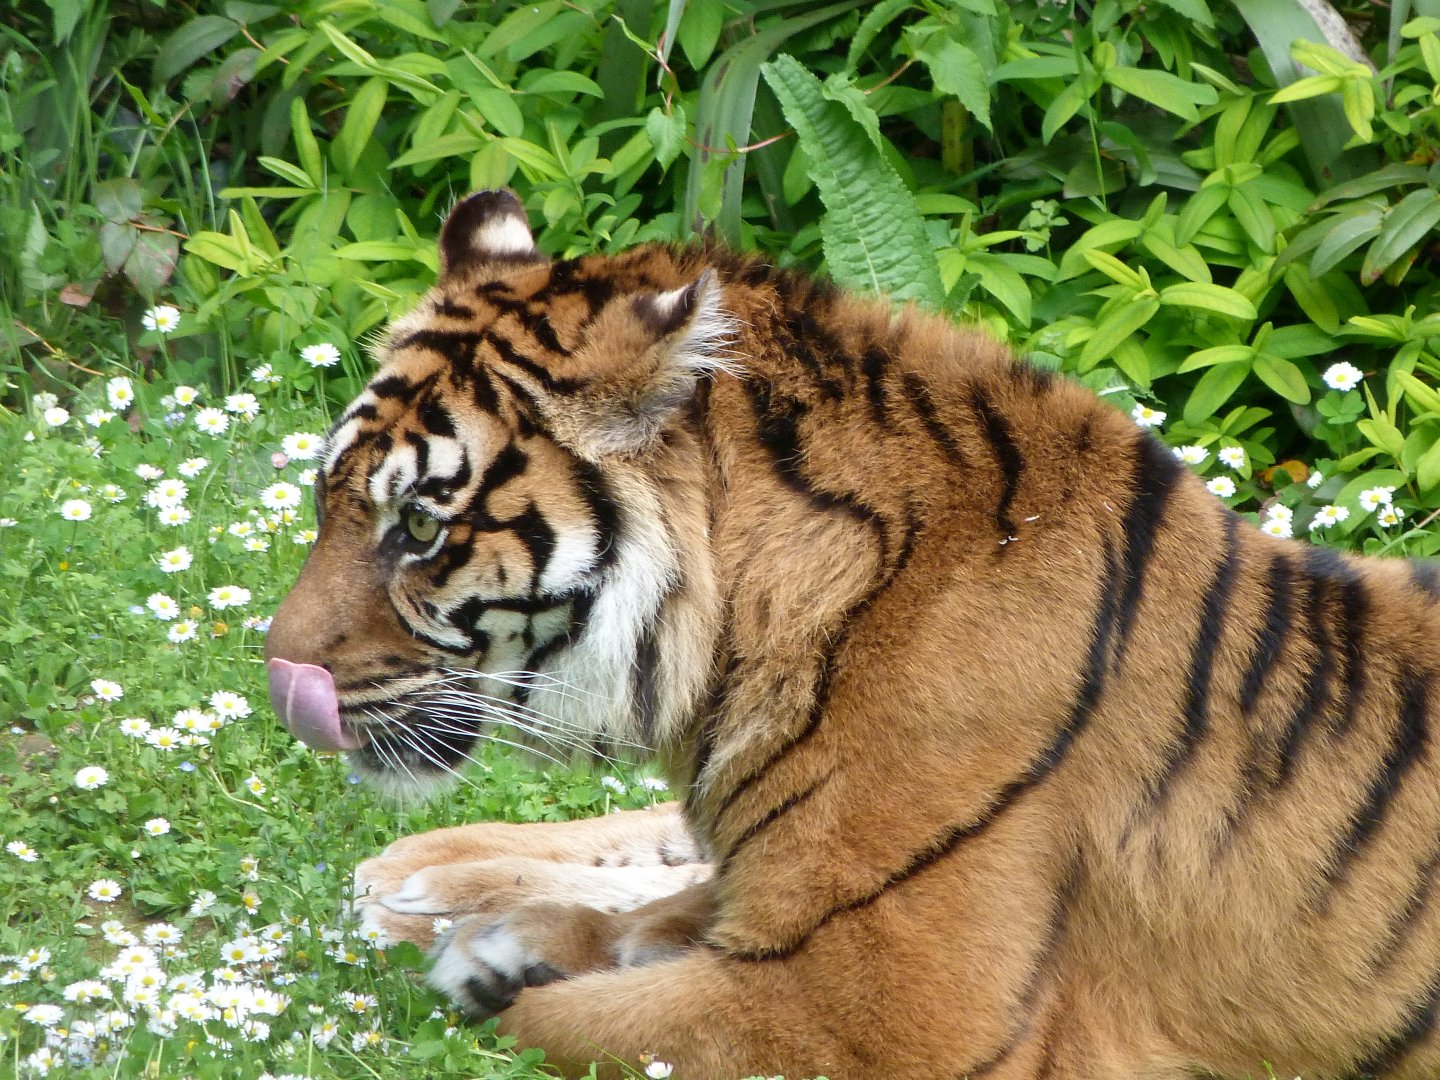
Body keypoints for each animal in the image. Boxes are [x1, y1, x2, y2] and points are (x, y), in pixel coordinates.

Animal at [263, 187, 1440, 1080]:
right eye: (328, 497)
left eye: (420, 528)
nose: (274, 673)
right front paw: (511, 943)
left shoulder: (881, 1010)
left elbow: (561, 1025)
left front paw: (505, 969)